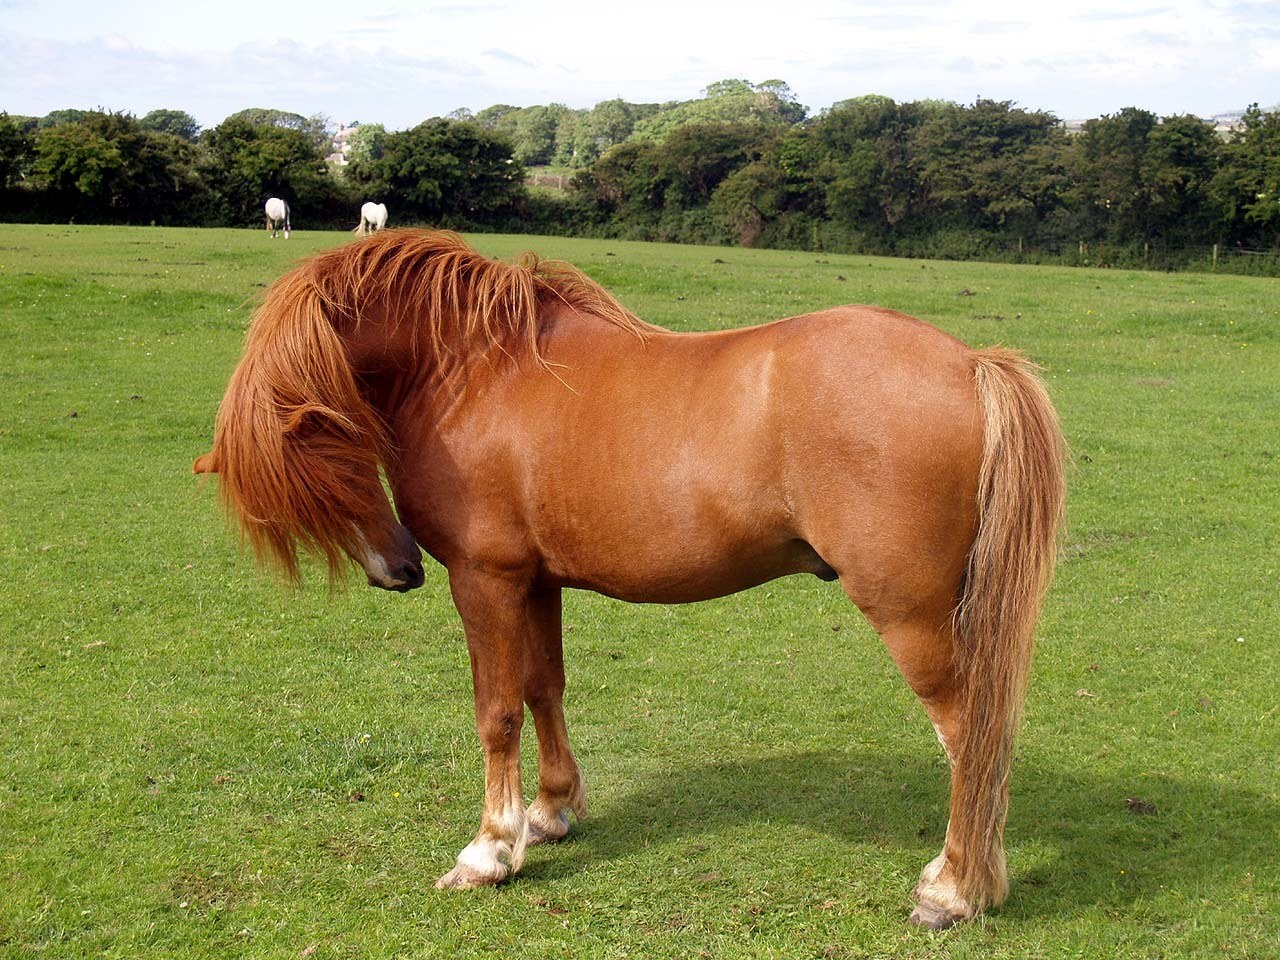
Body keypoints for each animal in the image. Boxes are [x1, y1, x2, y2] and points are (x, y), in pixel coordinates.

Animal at [193, 229, 1065, 929]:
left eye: (332, 448)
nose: (397, 569)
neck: (475, 369)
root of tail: (972, 364)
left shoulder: (485, 578)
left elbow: (496, 712)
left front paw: (489, 850)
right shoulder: (535, 580)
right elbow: (544, 688)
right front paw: (550, 812)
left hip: (911, 616)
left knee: (969, 737)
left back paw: (952, 892)